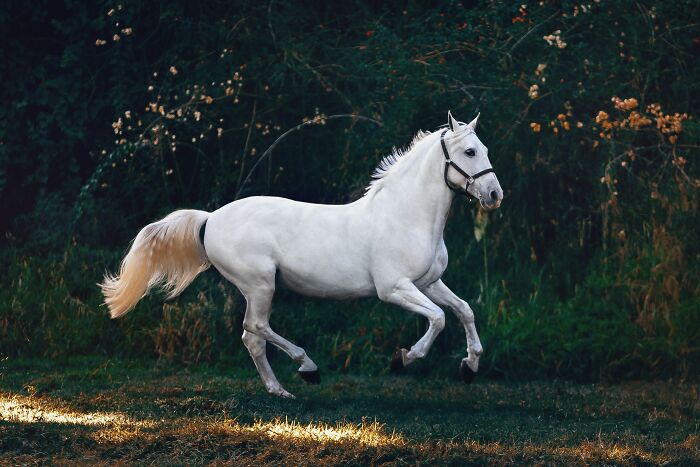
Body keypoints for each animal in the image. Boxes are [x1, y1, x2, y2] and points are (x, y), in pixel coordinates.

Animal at [101, 111, 503, 398]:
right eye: (469, 151)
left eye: (485, 150)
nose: (495, 195)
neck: (405, 215)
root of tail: (210, 218)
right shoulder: (394, 289)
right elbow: (438, 318)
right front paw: (403, 359)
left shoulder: (429, 282)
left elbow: (464, 310)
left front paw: (469, 366)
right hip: (260, 285)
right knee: (255, 329)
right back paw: (307, 369)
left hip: (259, 288)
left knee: (252, 337)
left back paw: (280, 390)